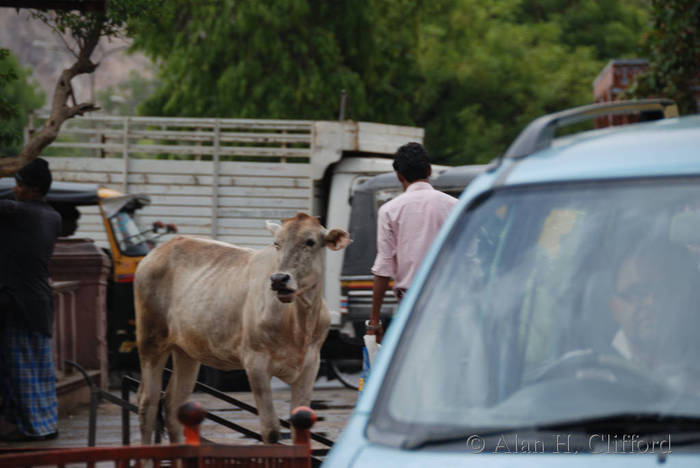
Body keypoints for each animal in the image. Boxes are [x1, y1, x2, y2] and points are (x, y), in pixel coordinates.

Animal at [133, 214, 350, 444]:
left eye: (310, 242)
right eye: (277, 244)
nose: (279, 279)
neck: (298, 323)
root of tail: (158, 251)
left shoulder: (310, 365)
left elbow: (301, 425)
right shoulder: (255, 362)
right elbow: (270, 430)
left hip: (186, 350)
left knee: (173, 404)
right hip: (150, 340)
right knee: (148, 402)